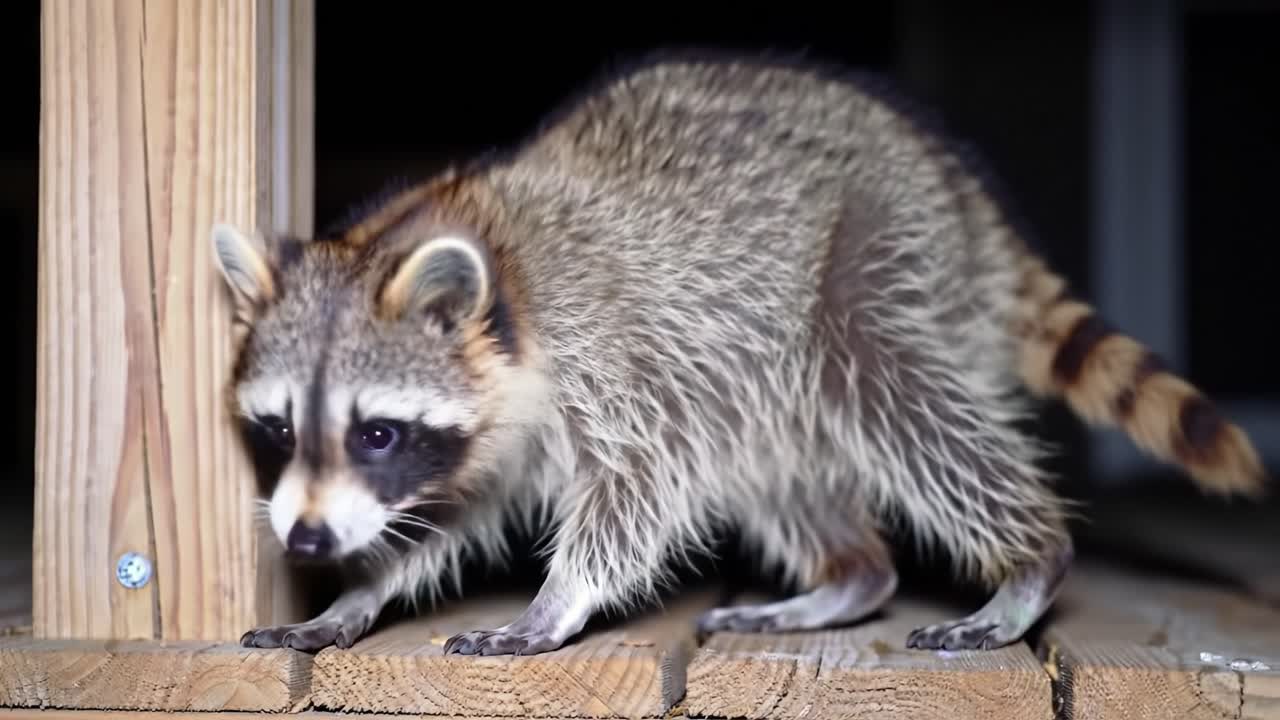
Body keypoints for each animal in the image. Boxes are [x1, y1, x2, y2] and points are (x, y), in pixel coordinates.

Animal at [213, 49, 1268, 655]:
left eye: (376, 433)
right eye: (278, 430)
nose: (305, 541)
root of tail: (960, 197)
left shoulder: (615, 352)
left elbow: (640, 486)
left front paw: (559, 599)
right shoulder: (485, 430)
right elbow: (444, 512)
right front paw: (357, 592)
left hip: (873, 246)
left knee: (885, 382)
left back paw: (1029, 557)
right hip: (762, 358)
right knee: (771, 455)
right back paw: (849, 574)